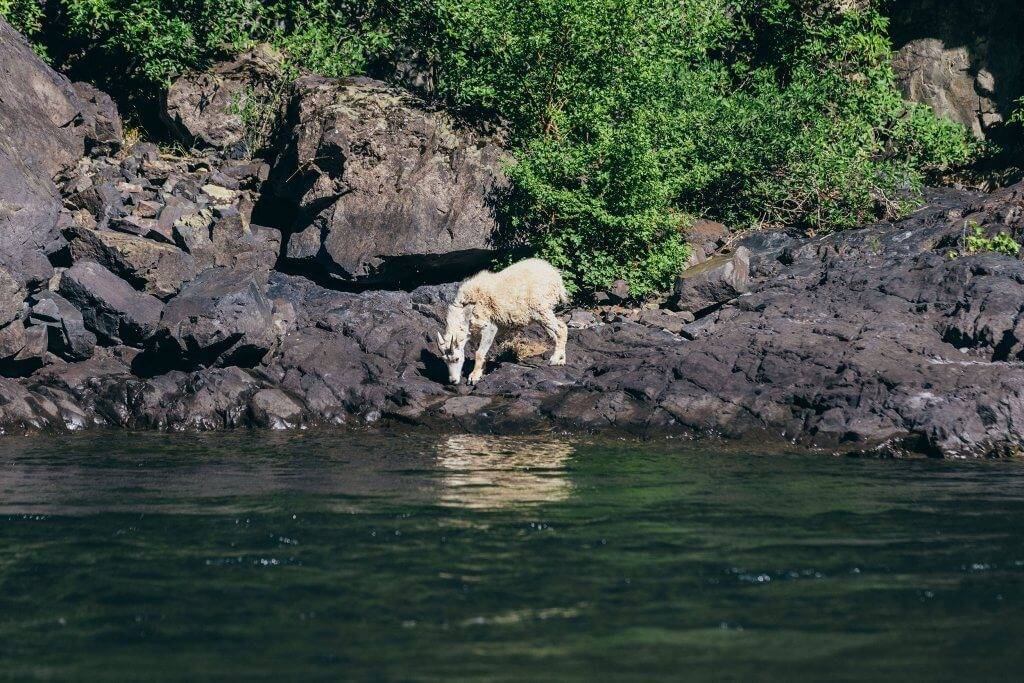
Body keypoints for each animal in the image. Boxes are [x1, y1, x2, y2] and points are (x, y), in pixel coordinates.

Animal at [436, 259, 573, 385]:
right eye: (444, 360)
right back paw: (561, 360)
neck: (467, 311)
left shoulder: (489, 327)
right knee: (555, 334)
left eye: (457, 358)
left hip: (540, 309)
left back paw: (554, 360)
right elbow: (482, 353)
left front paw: (473, 377)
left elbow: (479, 353)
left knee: (561, 328)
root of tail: (556, 277)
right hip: (542, 314)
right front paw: (481, 372)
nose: (453, 381)